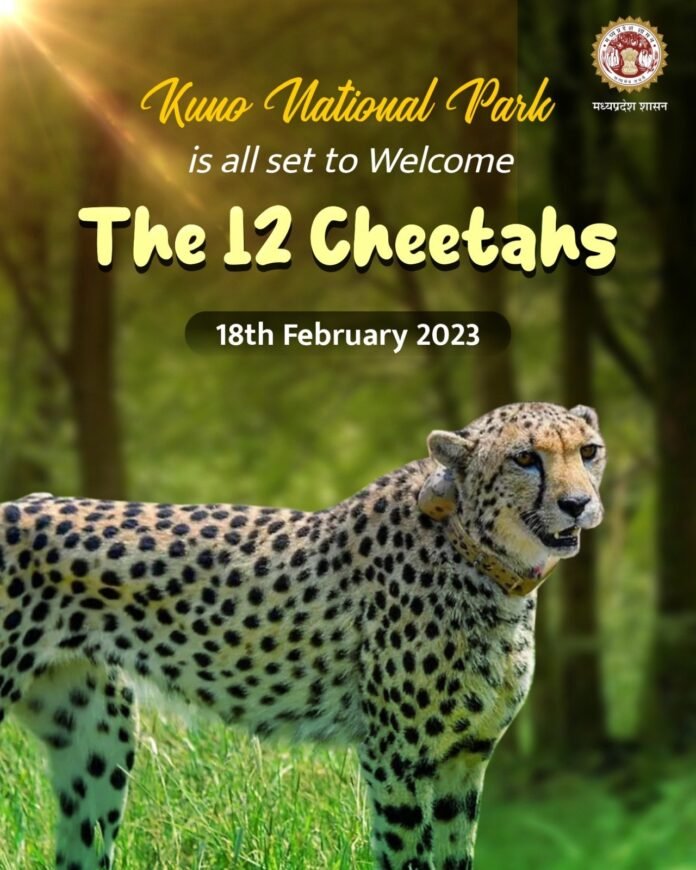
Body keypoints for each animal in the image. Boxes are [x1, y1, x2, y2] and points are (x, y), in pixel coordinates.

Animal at [0, 402, 606, 870]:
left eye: (588, 451)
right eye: (525, 458)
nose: (578, 504)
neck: (486, 561)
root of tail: (19, 500)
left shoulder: (465, 757)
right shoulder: (397, 758)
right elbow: (407, 854)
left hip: (97, 738)